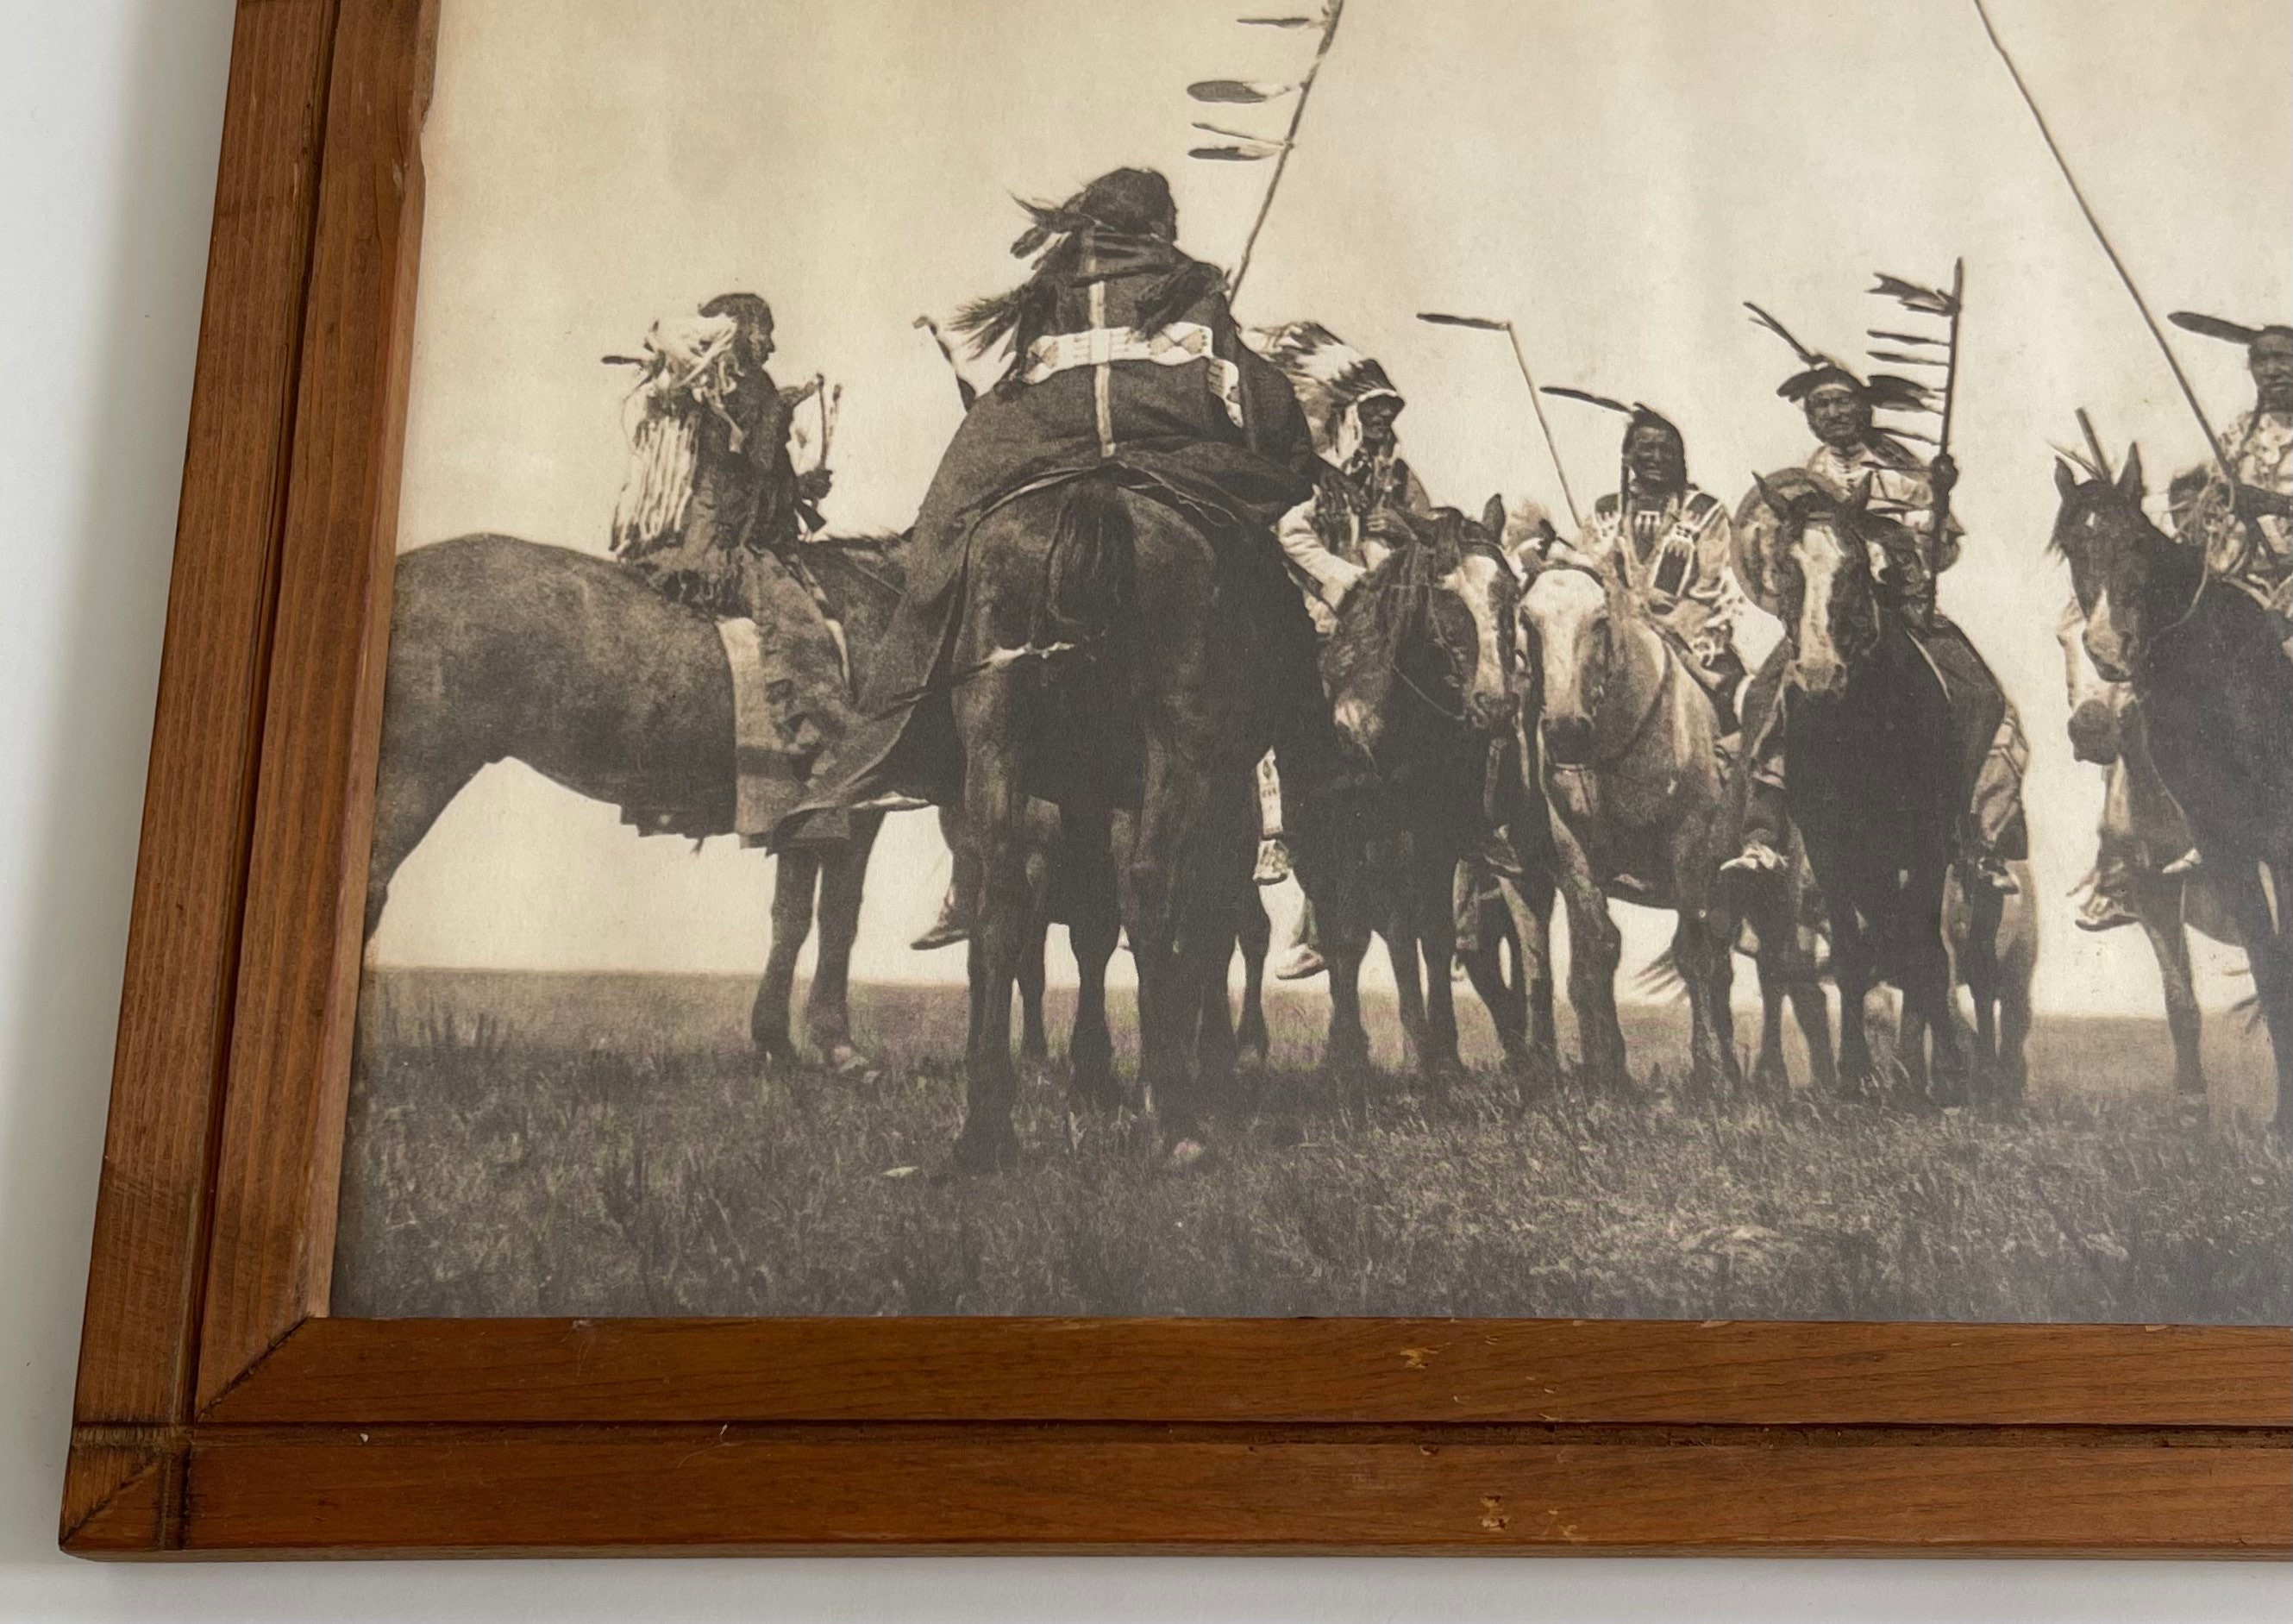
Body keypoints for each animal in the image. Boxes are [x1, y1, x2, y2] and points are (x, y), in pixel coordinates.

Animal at [366, 532, 902, 1072]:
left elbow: (803, 916)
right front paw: (833, 1046)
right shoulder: (846, 813)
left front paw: (785, 1041)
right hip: (421, 773)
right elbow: (826, 918)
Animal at [1295, 502, 1527, 1085]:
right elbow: (1367, 936)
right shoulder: (1358, 832)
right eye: (1445, 594)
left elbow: (1433, 934)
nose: (1494, 705)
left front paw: (1444, 1054)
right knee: (1342, 928)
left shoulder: (1434, 835)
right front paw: (1379, 1055)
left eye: (1510, 592)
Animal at [1518, 552, 1739, 1089]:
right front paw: (1607, 1071)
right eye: (1526, 620)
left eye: (1600, 621)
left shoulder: (1691, 844)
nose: (1566, 730)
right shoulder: (1572, 849)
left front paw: (1709, 1072)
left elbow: (1693, 953)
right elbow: (1598, 948)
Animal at [1747, 474, 1967, 1099]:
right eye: (1784, 567)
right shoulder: (1829, 849)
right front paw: (1854, 1074)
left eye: (1855, 568)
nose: (1819, 677)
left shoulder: (1927, 845)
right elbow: (1848, 955)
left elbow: (1924, 952)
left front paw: (1941, 1073)